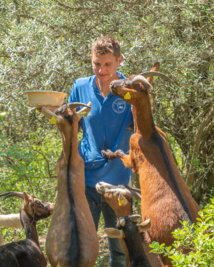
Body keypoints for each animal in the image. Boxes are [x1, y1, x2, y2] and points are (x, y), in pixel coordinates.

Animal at [101, 63, 200, 267]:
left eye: (128, 84)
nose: (113, 84)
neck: (149, 134)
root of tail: (190, 237)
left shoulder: (133, 154)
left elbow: (121, 154)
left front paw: (107, 153)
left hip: (163, 250)